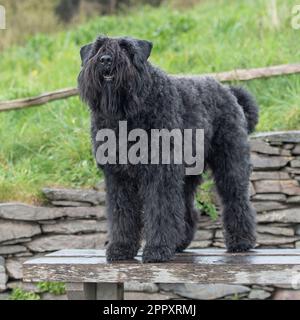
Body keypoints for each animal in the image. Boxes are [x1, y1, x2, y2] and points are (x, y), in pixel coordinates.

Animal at [77, 36, 258, 262]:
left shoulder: (160, 173)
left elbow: (159, 209)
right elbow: (122, 213)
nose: (106, 59)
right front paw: (121, 248)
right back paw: (179, 242)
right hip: (187, 175)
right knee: (186, 208)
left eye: (126, 48)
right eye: (97, 48)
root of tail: (230, 92)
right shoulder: (118, 177)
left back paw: (241, 241)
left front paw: (157, 249)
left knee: (236, 199)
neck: (125, 116)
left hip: (230, 164)